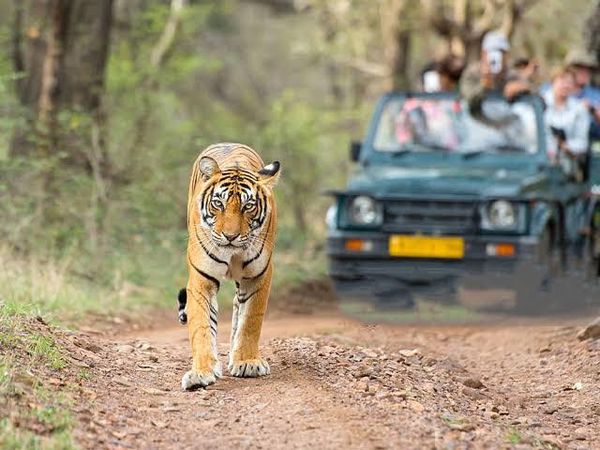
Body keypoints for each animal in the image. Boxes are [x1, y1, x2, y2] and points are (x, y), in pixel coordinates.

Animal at [179, 143, 280, 390]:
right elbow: (201, 326)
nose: (230, 236)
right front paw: (201, 373)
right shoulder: (201, 279)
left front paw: (247, 362)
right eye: (218, 203)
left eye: (248, 206)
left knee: (238, 307)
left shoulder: (259, 276)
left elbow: (250, 320)